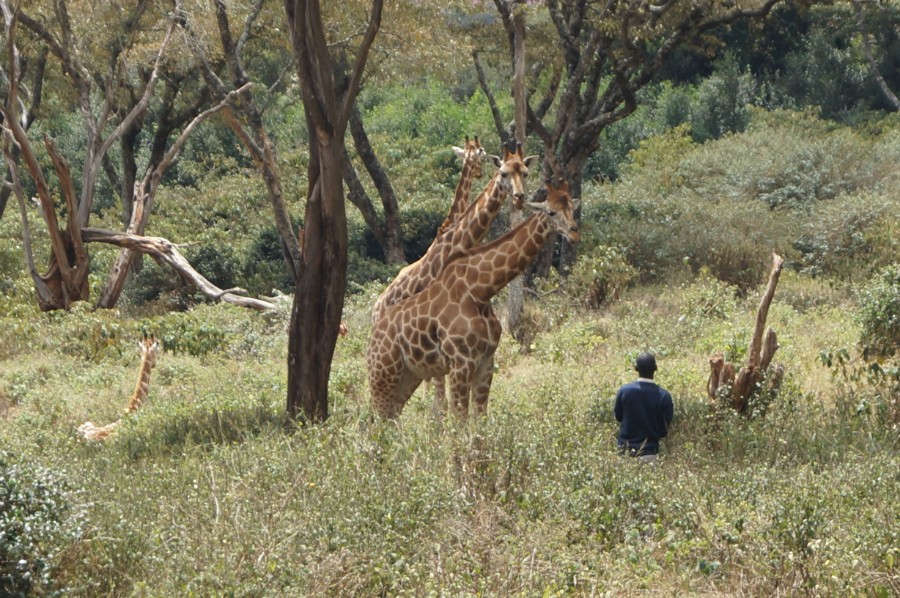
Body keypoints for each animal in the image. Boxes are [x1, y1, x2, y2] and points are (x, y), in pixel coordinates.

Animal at [368, 178, 584, 422]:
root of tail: (372, 336)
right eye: (551, 212)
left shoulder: (486, 361)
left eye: (572, 209)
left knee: (390, 418)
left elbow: (480, 418)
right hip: (383, 375)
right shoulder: (460, 363)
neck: (480, 291)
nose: (574, 233)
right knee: (376, 421)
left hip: (409, 376)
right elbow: (460, 420)